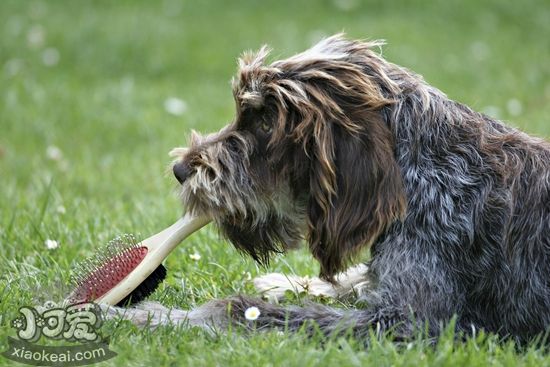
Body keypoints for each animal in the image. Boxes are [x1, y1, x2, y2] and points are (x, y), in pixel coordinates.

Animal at [106, 33, 550, 344]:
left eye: (264, 122)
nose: (180, 169)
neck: (427, 164)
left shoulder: (410, 323)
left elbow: (237, 312)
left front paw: (144, 316)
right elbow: (352, 280)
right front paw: (286, 283)